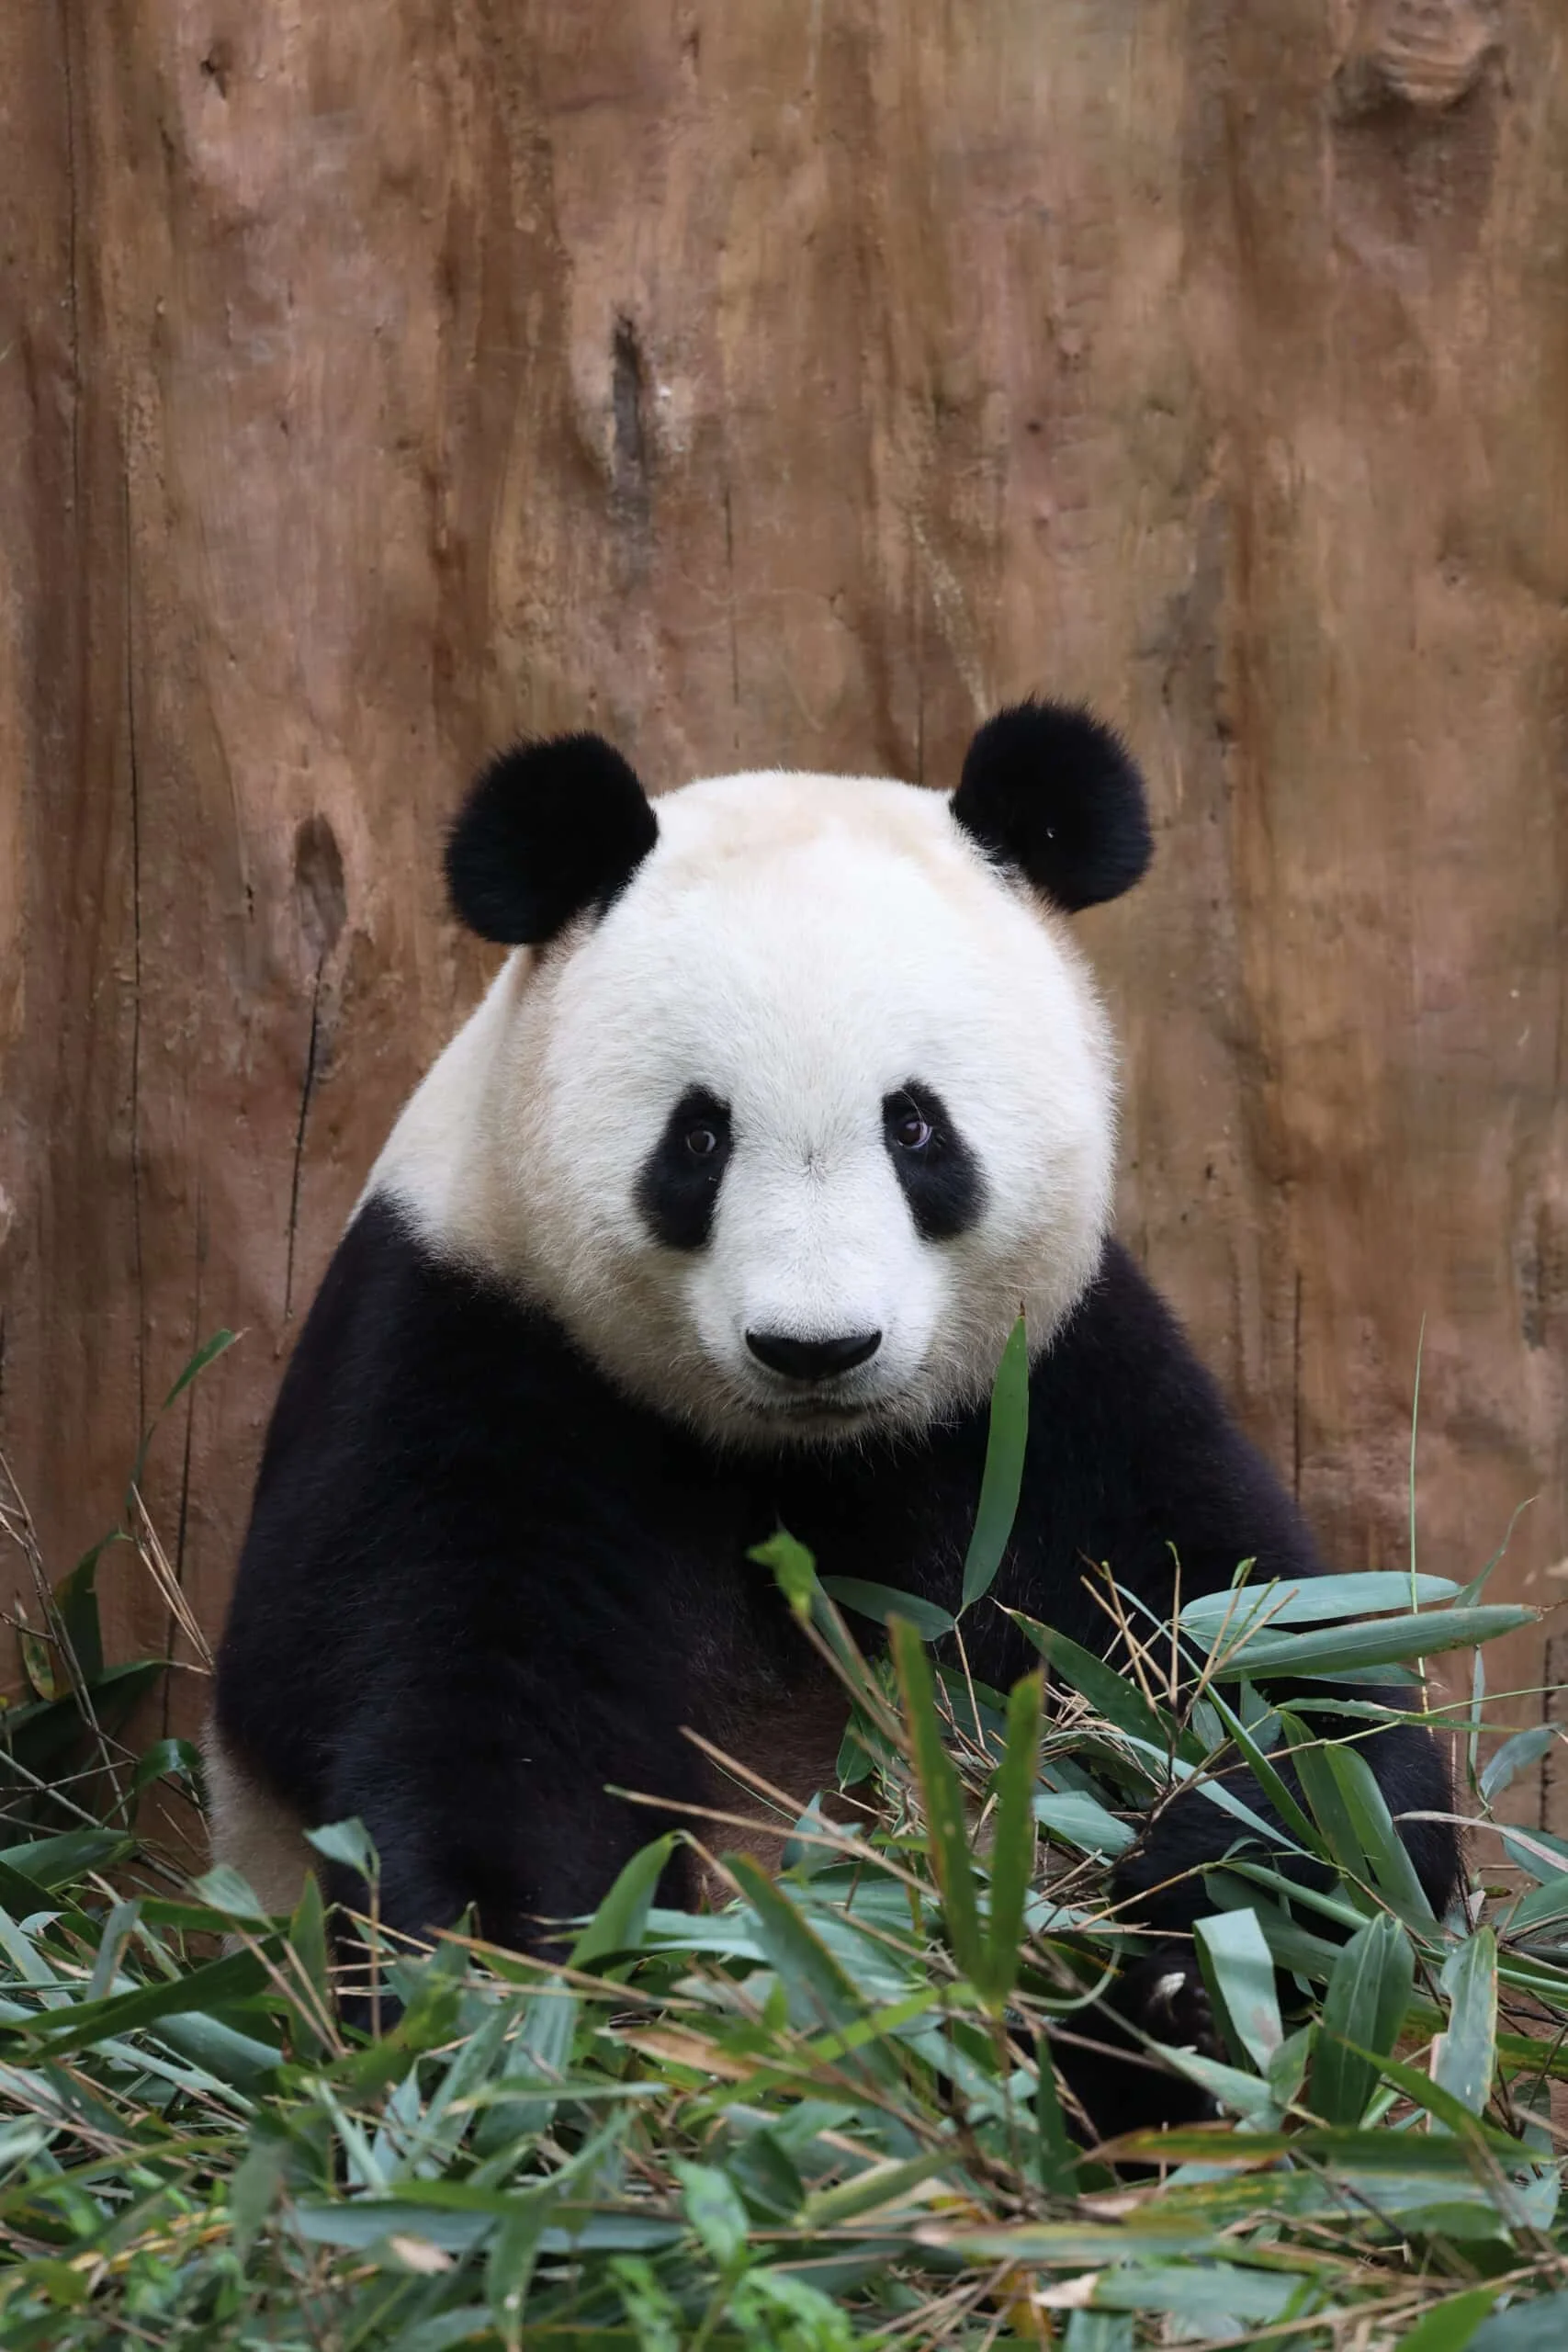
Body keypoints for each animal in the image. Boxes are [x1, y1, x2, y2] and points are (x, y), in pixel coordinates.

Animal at [208, 702, 1457, 2138]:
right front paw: (512, 2000)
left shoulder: (1049, 1393)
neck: (799, 1456)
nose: (816, 1346)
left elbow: (1282, 1679)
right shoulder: (472, 1348)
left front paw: (1197, 1953)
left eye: (915, 1127)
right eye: (697, 1139)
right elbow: (457, 1694)